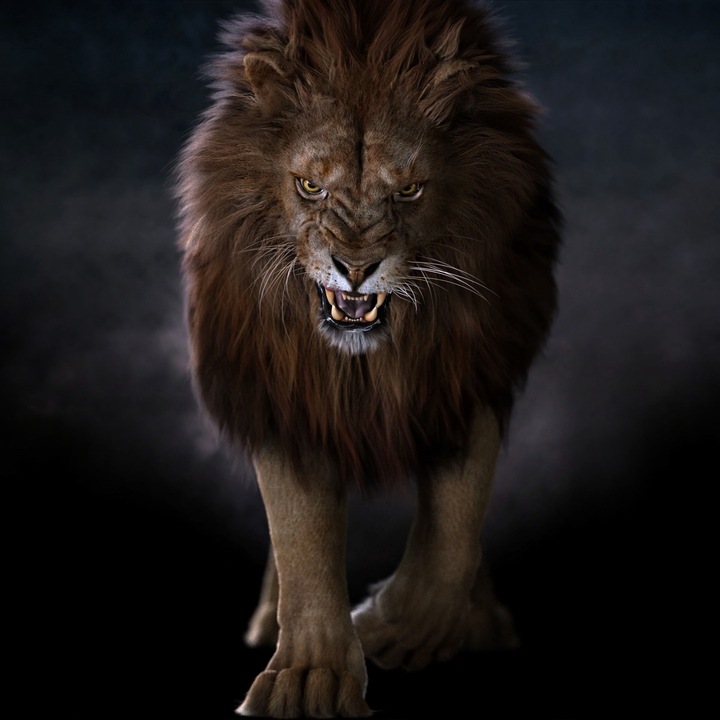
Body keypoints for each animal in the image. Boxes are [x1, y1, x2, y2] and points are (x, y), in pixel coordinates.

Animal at [176, 0, 560, 716]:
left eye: (408, 191)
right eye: (308, 186)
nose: (355, 268)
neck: (366, 361)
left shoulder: (466, 371)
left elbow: (455, 526)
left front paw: (398, 629)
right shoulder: (285, 387)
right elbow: (301, 538)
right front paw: (310, 676)